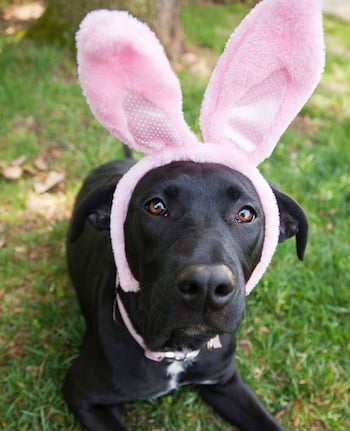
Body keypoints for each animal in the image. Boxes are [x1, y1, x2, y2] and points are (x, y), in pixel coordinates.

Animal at [62, 159, 306, 431]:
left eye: (246, 214)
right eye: (156, 206)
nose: (206, 286)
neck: (177, 350)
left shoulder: (225, 382)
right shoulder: (84, 396)